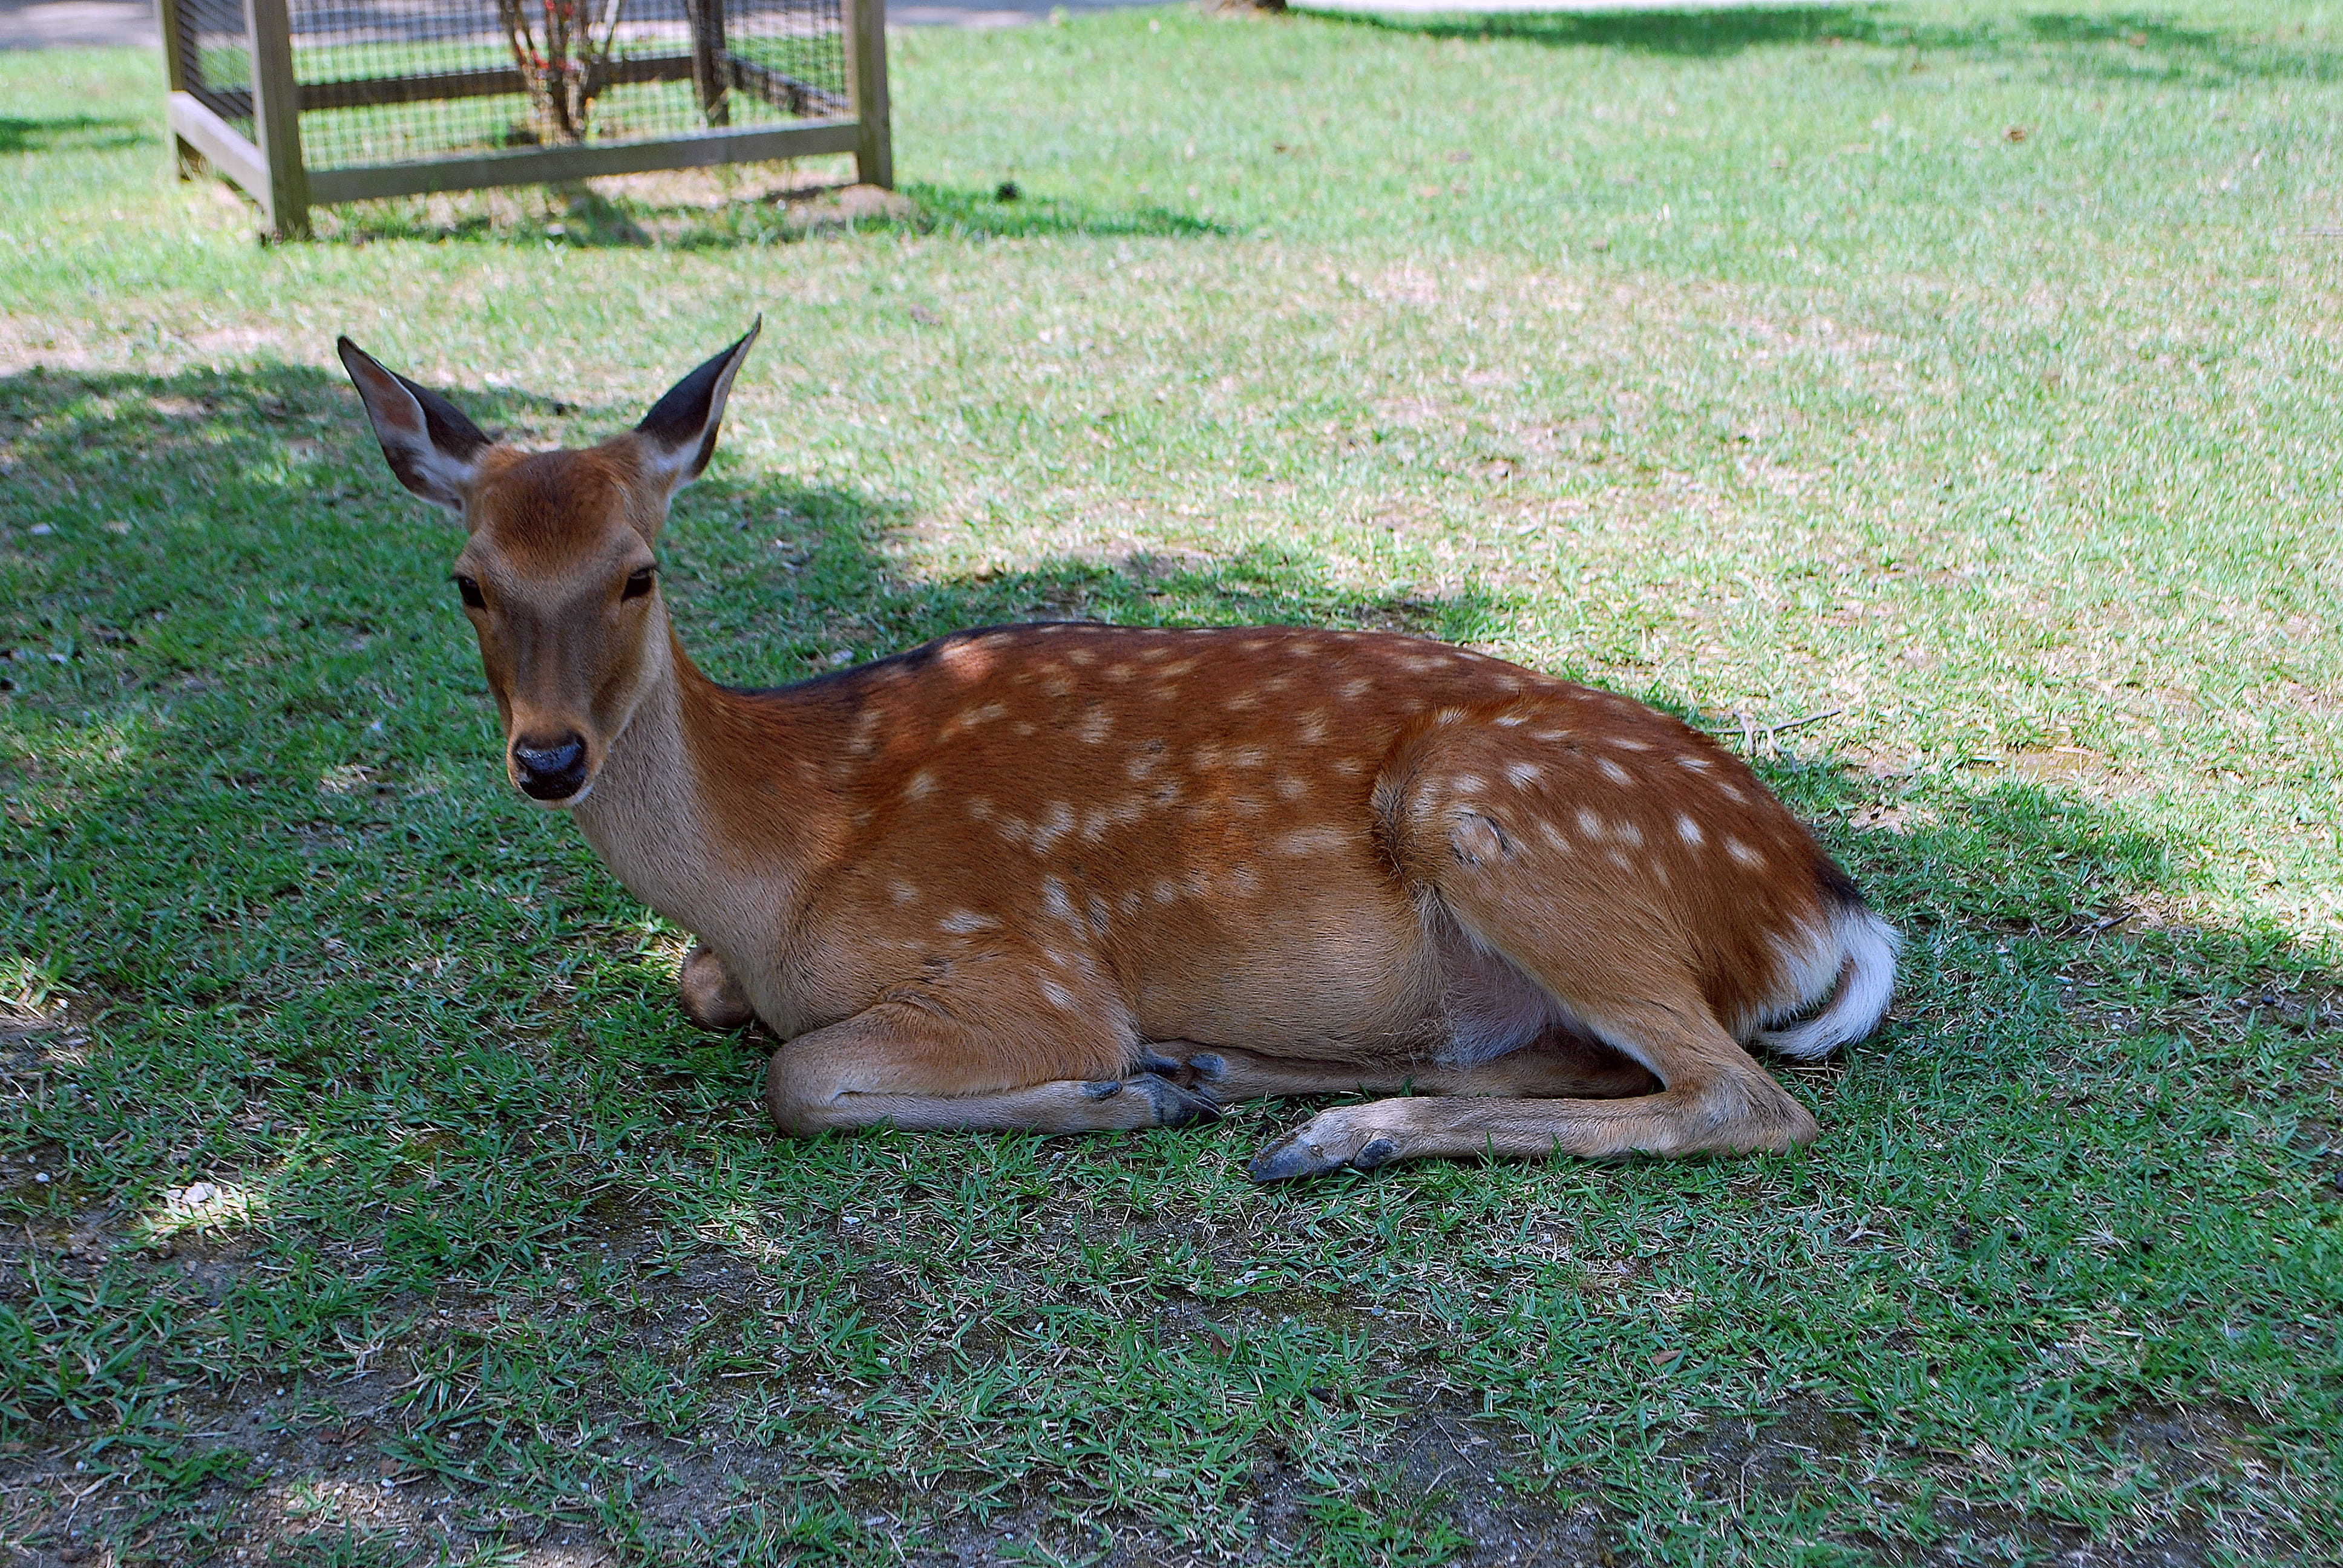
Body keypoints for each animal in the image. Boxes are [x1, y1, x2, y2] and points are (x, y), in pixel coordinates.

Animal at [338, 323, 1899, 1181]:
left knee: (1737, 1096)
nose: (549, 758)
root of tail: (1828, 906)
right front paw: (1148, 1086)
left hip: (1504, 820)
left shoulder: (1021, 966)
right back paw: (1233, 1081)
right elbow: (700, 990)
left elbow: (798, 1080)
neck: (778, 862)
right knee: (1586, 1061)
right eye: (468, 581)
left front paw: (1107, 1093)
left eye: (637, 573)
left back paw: (1295, 1122)